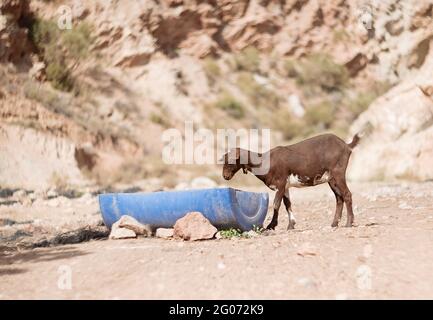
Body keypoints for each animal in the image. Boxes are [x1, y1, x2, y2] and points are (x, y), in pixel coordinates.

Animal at [221, 133, 360, 230]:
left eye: (231, 161)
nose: (225, 176)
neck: (265, 161)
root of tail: (346, 145)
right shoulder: (285, 186)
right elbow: (287, 204)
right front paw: (291, 225)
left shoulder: (281, 183)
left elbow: (276, 204)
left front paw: (271, 225)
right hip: (331, 179)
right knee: (339, 198)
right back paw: (334, 224)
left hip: (338, 173)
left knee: (347, 194)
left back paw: (349, 223)